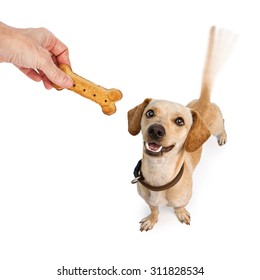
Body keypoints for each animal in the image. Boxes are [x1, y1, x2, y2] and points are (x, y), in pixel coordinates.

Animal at [127, 26, 235, 232]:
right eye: (150, 113)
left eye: (179, 121)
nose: (156, 130)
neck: (158, 174)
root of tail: (203, 100)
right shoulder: (149, 201)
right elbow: (154, 209)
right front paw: (152, 219)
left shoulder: (183, 200)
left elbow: (179, 207)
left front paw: (181, 214)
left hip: (217, 124)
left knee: (224, 123)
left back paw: (223, 136)